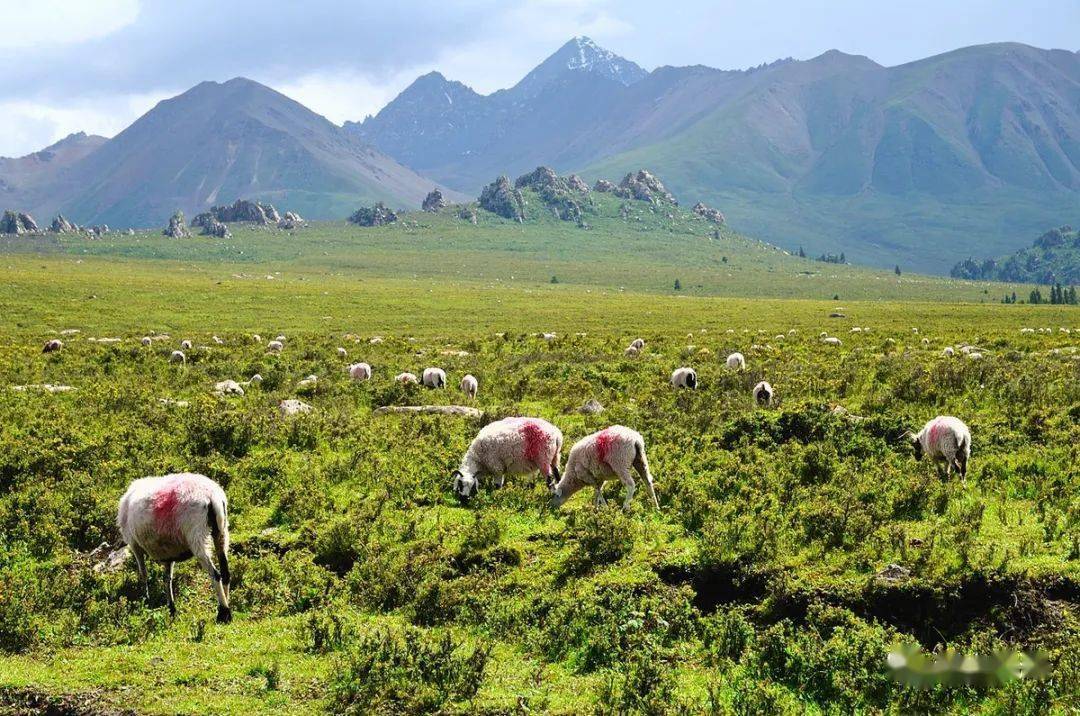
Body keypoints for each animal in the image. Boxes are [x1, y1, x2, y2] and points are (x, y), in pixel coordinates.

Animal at [115, 470, 231, 622]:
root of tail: (212, 496)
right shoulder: (168, 553)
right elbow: (167, 579)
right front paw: (171, 608)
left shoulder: (134, 545)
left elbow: (143, 574)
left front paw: (146, 599)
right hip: (221, 532)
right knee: (225, 572)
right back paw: (227, 607)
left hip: (196, 535)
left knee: (215, 574)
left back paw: (223, 612)